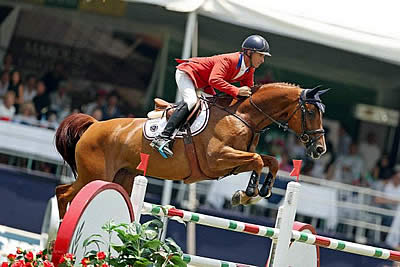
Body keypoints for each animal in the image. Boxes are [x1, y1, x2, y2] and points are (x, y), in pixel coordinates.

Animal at [54, 83, 328, 220]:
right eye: (311, 111)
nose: (320, 149)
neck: (243, 116)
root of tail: (94, 125)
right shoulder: (218, 159)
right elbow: (259, 160)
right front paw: (247, 194)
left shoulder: (233, 163)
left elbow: (270, 161)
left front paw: (261, 192)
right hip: (95, 175)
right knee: (64, 192)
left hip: (122, 177)